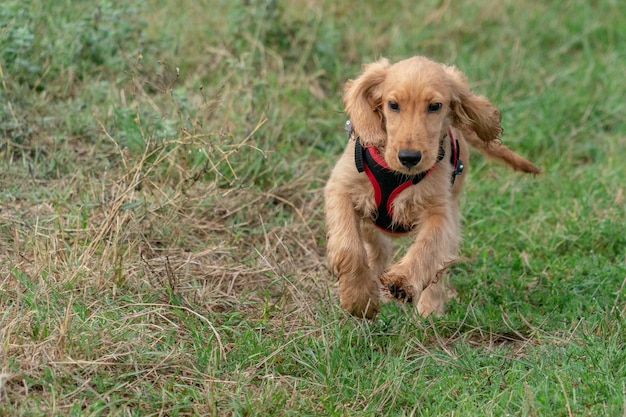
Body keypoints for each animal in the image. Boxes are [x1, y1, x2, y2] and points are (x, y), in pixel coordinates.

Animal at [322, 53, 536, 316]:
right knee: (378, 248)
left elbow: (428, 247)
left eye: (435, 106)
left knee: (438, 264)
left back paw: (430, 309)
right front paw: (359, 298)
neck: (397, 174)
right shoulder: (341, 188)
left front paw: (402, 282)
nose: (409, 157)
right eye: (393, 105)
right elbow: (348, 246)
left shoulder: (439, 212)